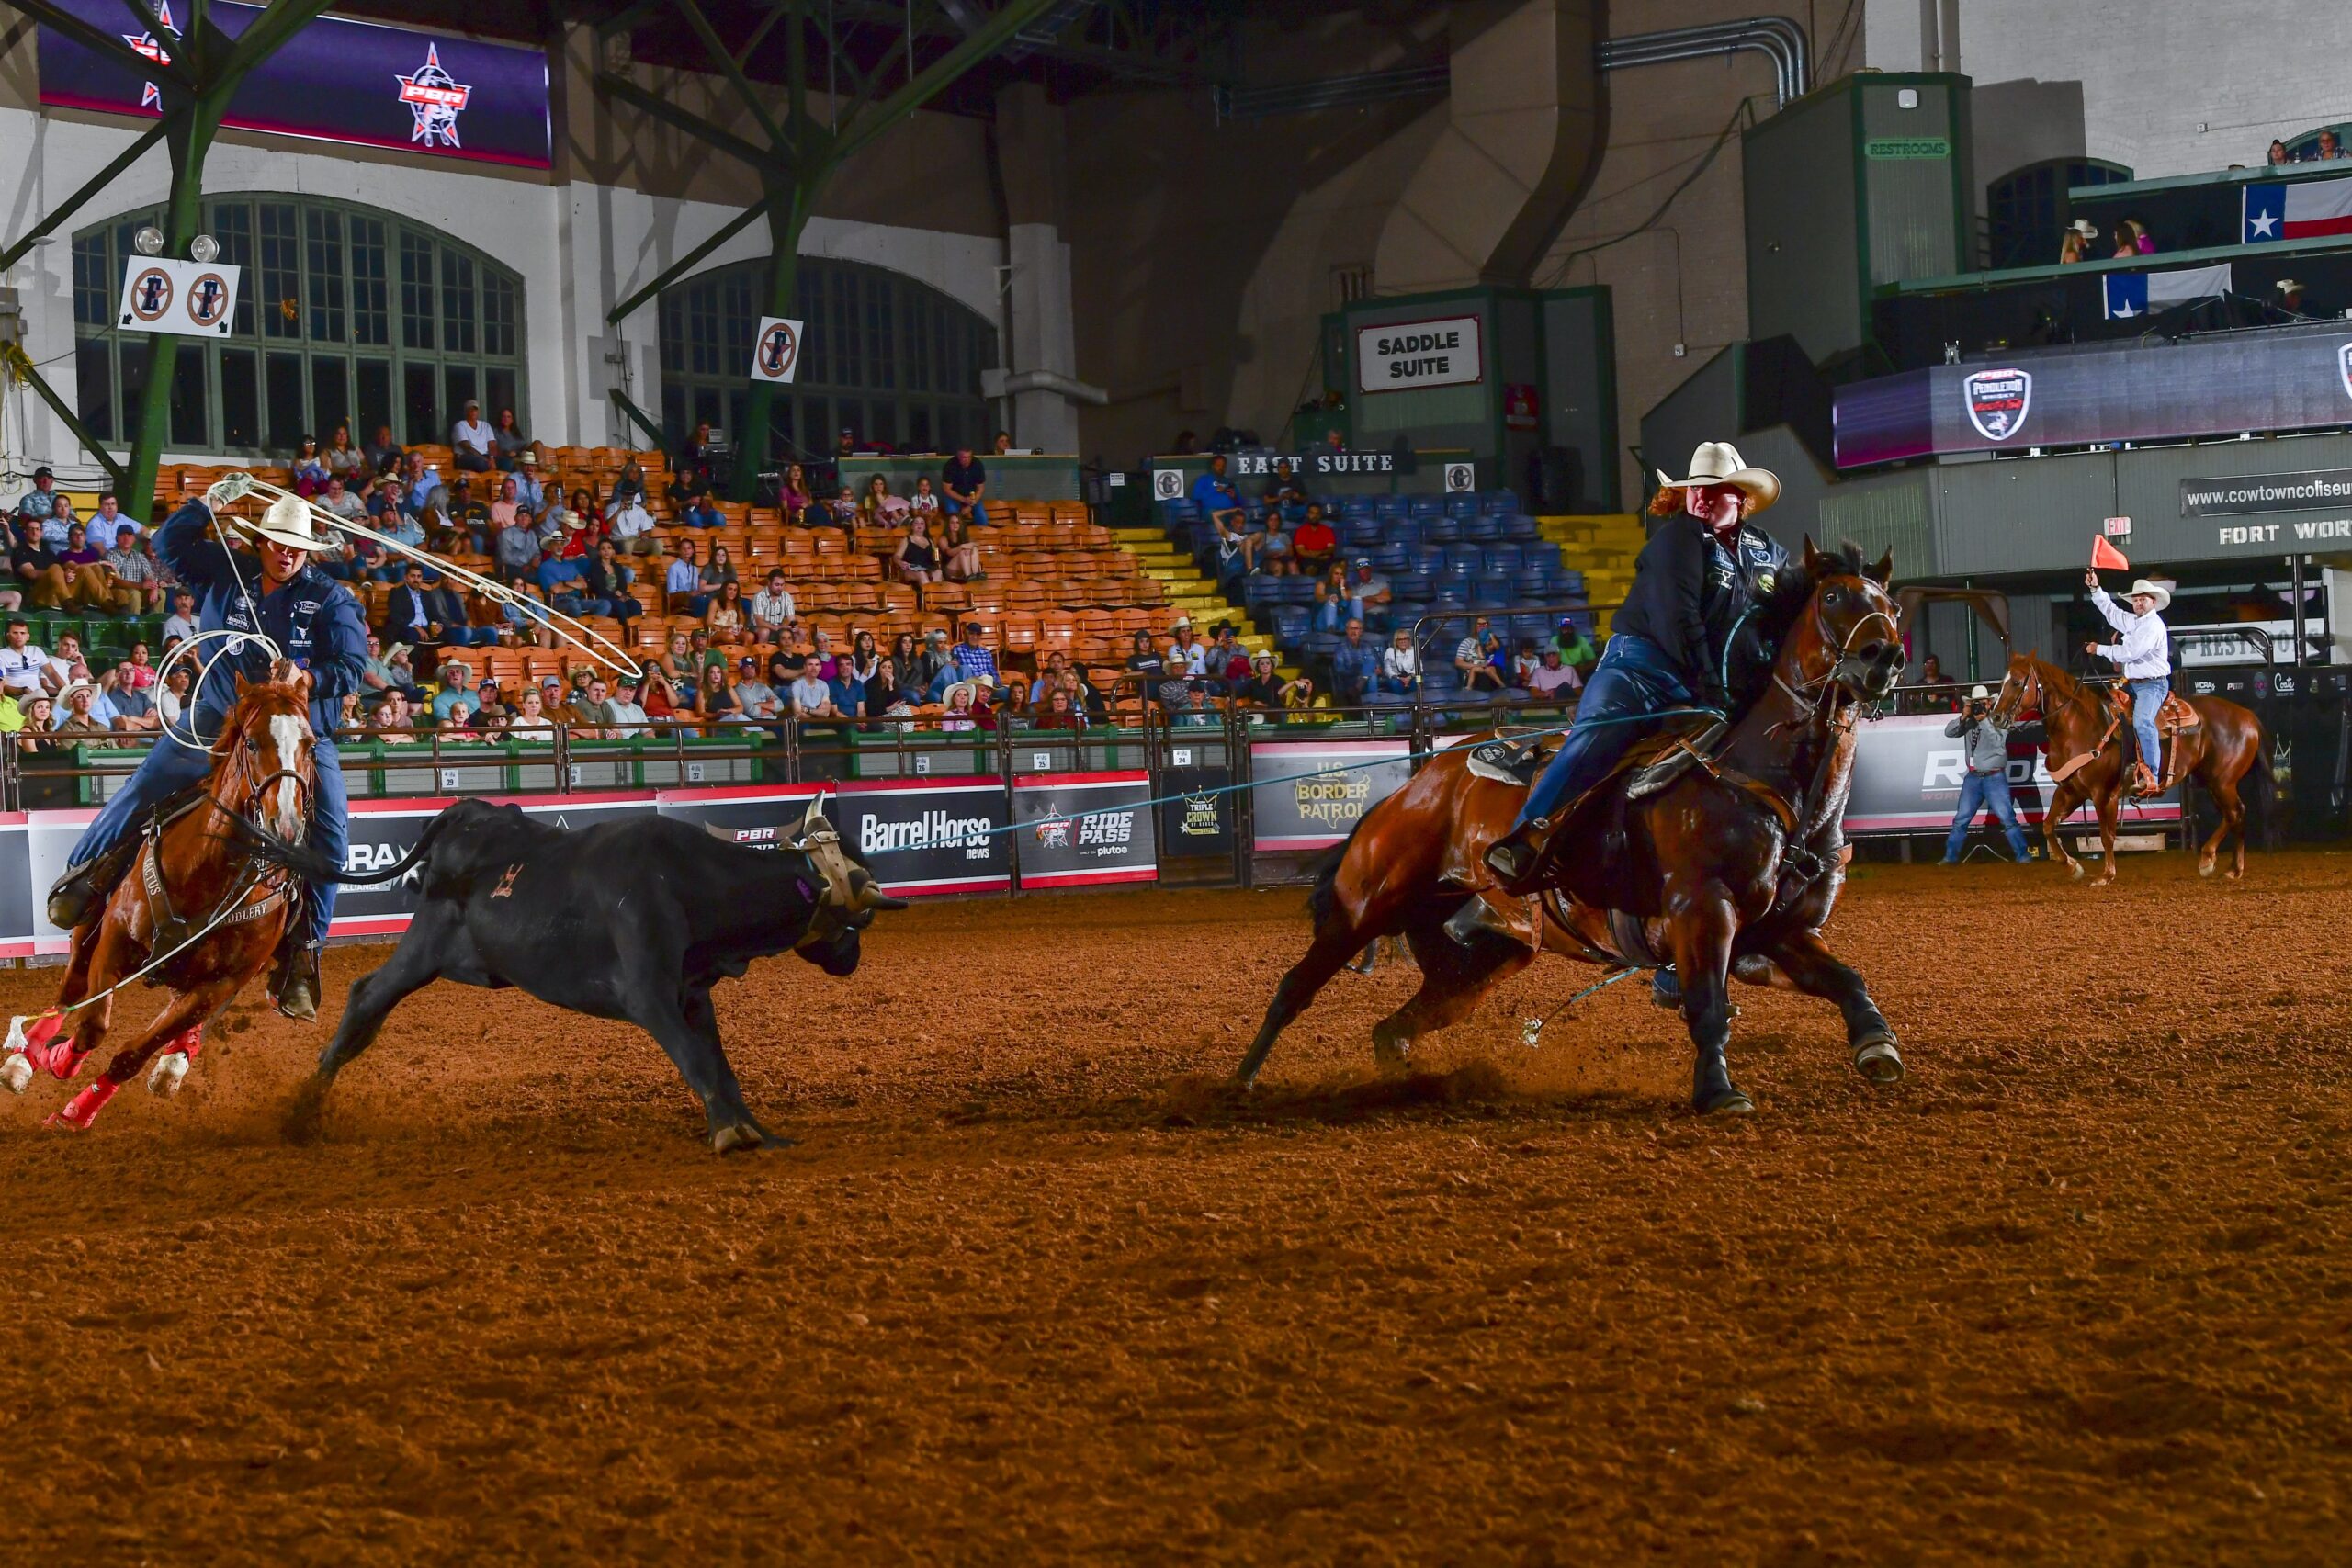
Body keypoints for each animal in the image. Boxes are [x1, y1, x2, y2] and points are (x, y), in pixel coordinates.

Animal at [2, 662, 324, 1128]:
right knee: (70, 990)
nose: (285, 825)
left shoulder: (219, 985)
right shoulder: (115, 941)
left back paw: (175, 1062)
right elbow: (92, 1025)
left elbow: (131, 1055)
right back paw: (24, 1060)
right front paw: (57, 1058)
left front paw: (78, 1111)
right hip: (87, 929)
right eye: (251, 741)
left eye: (310, 745)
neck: (210, 872)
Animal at [1241, 540, 1900, 1114]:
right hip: (1363, 908)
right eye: (1834, 597)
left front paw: (1877, 1044)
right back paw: (1237, 1084)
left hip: (1477, 960)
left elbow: (1848, 979)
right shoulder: (1703, 912)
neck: (1765, 782)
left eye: (1890, 606)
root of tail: (1412, 787)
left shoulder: (1775, 934)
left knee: (1394, 1029)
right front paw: (1718, 1092)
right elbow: (1708, 1006)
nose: (1885, 656)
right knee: (1294, 989)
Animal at [1994, 644, 2267, 879]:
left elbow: (2107, 835)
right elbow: (2048, 826)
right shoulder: (2070, 791)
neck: (2081, 727)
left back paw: (2216, 862)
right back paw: (2228, 867)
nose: (1995, 716)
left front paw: (2106, 875)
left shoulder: (2104, 794)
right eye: (2003, 680)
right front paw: (2073, 867)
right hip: (2211, 780)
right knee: (2232, 814)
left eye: (2017, 682)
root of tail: (2248, 716)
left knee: (2236, 812)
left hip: (2223, 781)